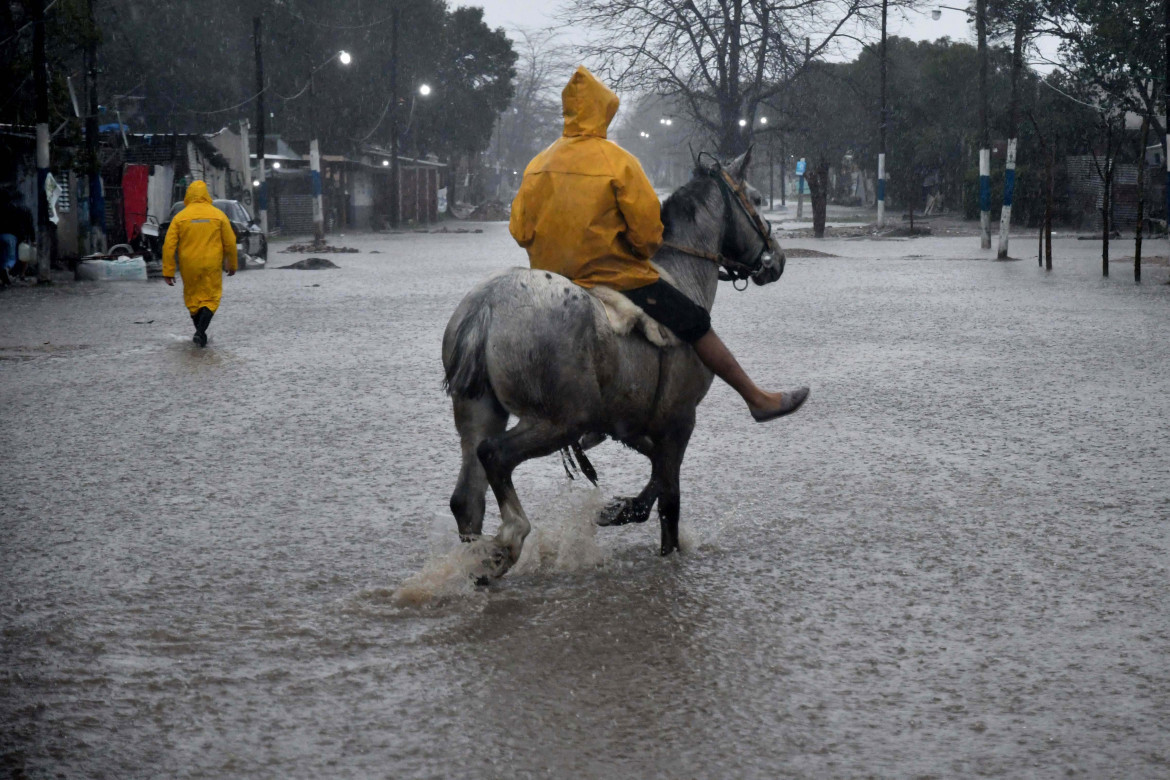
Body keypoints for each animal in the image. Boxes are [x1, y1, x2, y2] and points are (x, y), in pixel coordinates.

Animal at [442, 150, 781, 580]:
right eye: (756, 197)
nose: (777, 260)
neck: (683, 274)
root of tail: (486, 307)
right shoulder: (680, 418)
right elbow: (670, 498)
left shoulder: (627, 421)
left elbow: (658, 471)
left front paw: (622, 509)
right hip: (560, 420)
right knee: (494, 456)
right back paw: (509, 539)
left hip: (480, 411)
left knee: (466, 498)